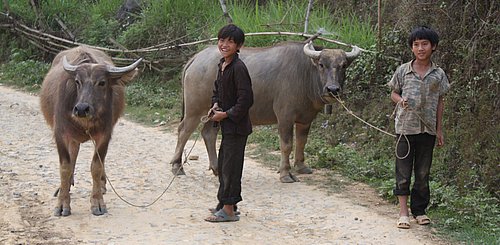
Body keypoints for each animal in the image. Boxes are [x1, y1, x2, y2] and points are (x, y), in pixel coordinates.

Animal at [39, 46, 142, 216]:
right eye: (77, 82)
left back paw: (102, 184)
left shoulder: (105, 135)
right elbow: (65, 167)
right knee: (73, 154)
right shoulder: (60, 133)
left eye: (102, 82)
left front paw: (98, 202)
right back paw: (65, 186)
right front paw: (62, 203)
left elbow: (96, 166)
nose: (81, 109)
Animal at [171, 41, 360, 182]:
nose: (332, 89)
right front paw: (285, 173)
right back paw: (177, 166)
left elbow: (301, 142)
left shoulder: (305, 119)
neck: (305, 73)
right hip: (195, 110)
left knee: (208, 133)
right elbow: (287, 145)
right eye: (321, 64)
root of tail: (196, 58)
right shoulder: (285, 116)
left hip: (215, 111)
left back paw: (217, 169)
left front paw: (301, 166)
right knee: (184, 131)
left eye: (343, 65)